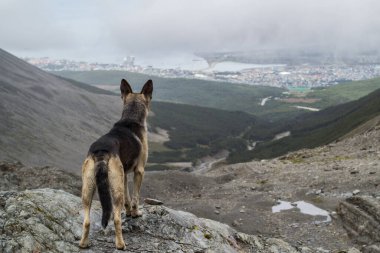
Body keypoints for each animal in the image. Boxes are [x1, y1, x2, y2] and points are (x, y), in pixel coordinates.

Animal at [79, 78, 153, 249]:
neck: (131, 117)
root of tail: (101, 151)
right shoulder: (139, 171)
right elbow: (135, 197)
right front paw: (135, 213)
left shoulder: (123, 174)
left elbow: (128, 198)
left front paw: (129, 212)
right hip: (114, 190)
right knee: (116, 218)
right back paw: (120, 244)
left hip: (88, 188)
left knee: (87, 221)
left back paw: (83, 243)